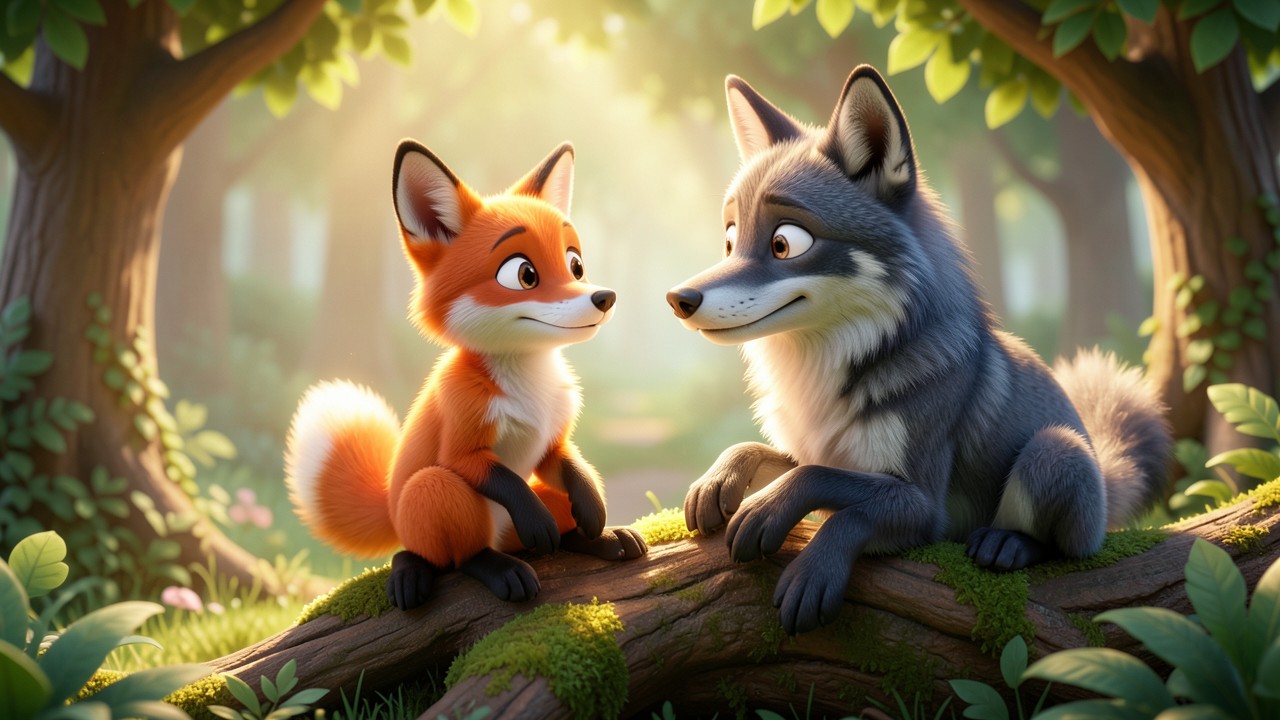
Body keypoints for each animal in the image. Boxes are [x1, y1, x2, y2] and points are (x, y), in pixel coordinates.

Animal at [285, 140, 647, 611]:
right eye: (524, 274)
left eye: (576, 265)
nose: (604, 298)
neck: (528, 386)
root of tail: (391, 502)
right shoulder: (462, 435)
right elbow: (497, 478)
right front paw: (536, 524)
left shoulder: (550, 442)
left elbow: (571, 468)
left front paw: (594, 513)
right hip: (434, 492)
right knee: (449, 555)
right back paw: (470, 570)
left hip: (527, 504)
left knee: (558, 527)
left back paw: (601, 539)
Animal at [665, 66, 1172, 635]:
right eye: (730, 241)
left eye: (784, 243)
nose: (679, 299)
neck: (821, 377)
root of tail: (1104, 476)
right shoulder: (811, 445)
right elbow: (767, 453)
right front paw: (718, 481)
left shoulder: (926, 508)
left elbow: (829, 491)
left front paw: (800, 554)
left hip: (1054, 452)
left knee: (1068, 546)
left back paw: (1009, 543)